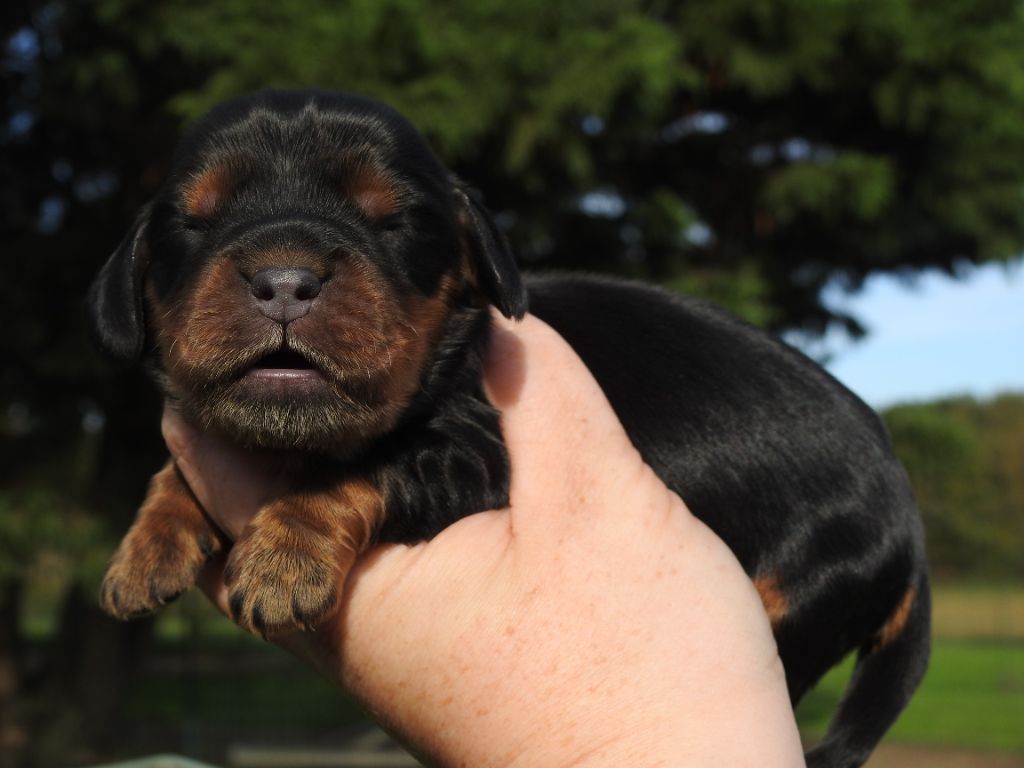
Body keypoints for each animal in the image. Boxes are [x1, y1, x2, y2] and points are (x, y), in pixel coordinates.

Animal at [88, 91, 929, 768]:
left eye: (393, 220)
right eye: (192, 220)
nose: (285, 280)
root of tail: (911, 526)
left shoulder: (466, 456)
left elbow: (356, 467)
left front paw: (283, 558)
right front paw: (149, 541)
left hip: (805, 588)